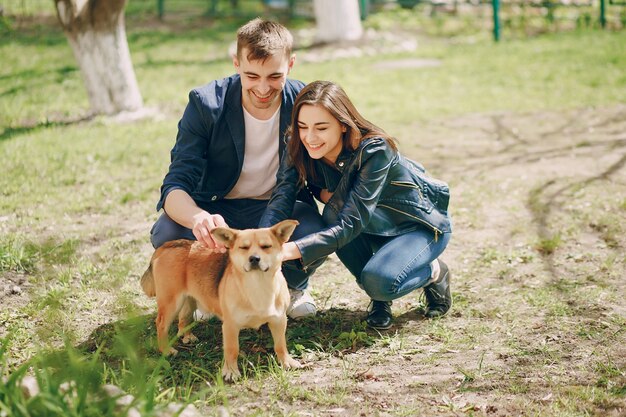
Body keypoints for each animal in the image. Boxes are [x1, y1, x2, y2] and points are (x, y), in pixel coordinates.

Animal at [138, 219, 302, 378]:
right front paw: (231, 371)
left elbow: (280, 345)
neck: (258, 284)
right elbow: (232, 349)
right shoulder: (230, 326)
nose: (254, 259)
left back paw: (187, 336)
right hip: (171, 302)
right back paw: (166, 349)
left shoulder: (279, 320)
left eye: (266, 246)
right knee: (161, 324)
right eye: (243, 248)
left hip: (189, 299)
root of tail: (166, 246)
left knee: (183, 318)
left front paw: (286, 361)